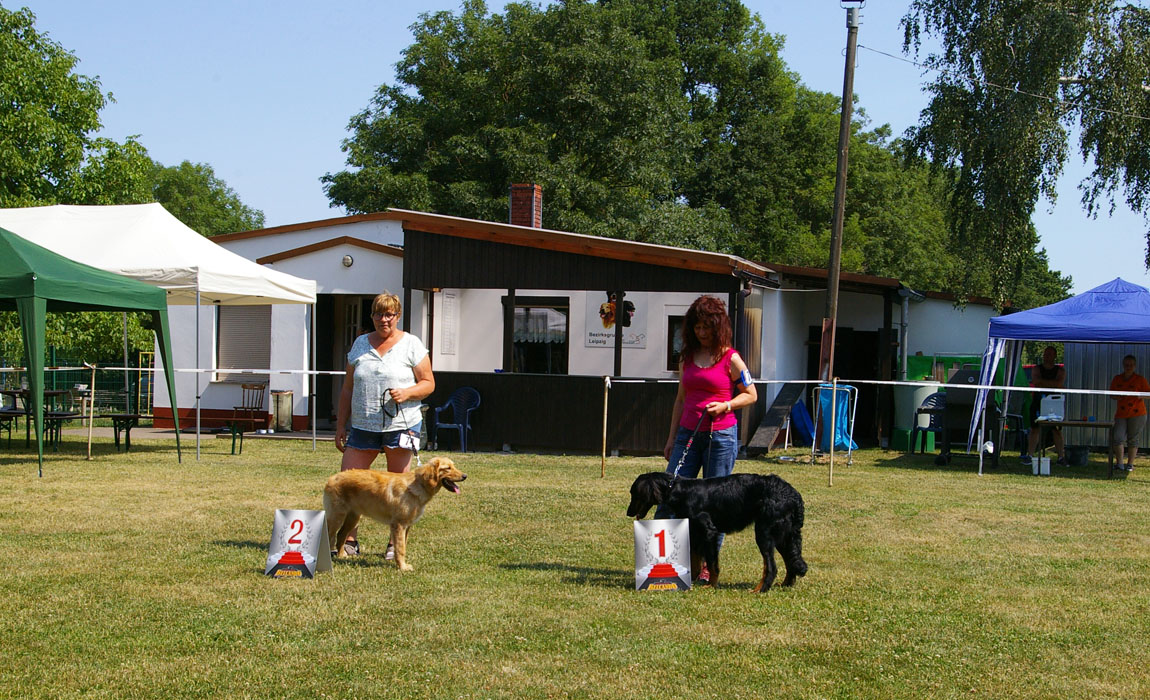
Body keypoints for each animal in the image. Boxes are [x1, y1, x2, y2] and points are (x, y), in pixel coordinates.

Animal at [322, 455, 464, 570]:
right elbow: (400, 549)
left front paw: (401, 564)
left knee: (341, 535)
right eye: (448, 468)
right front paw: (403, 567)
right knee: (330, 536)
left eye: (454, 466)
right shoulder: (399, 524)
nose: (465, 476)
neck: (416, 485)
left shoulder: (407, 526)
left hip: (354, 518)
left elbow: (402, 547)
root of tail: (332, 478)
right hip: (336, 517)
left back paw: (341, 555)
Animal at [630, 468, 809, 588]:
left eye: (634, 493)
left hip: (764, 533)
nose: (628, 512)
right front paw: (692, 581)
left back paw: (760, 590)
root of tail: (793, 494)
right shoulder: (695, 532)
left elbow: (711, 562)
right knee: (790, 561)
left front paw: (711, 584)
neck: (678, 489)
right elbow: (695, 559)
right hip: (784, 535)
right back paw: (785, 585)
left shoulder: (709, 532)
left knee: (771, 567)